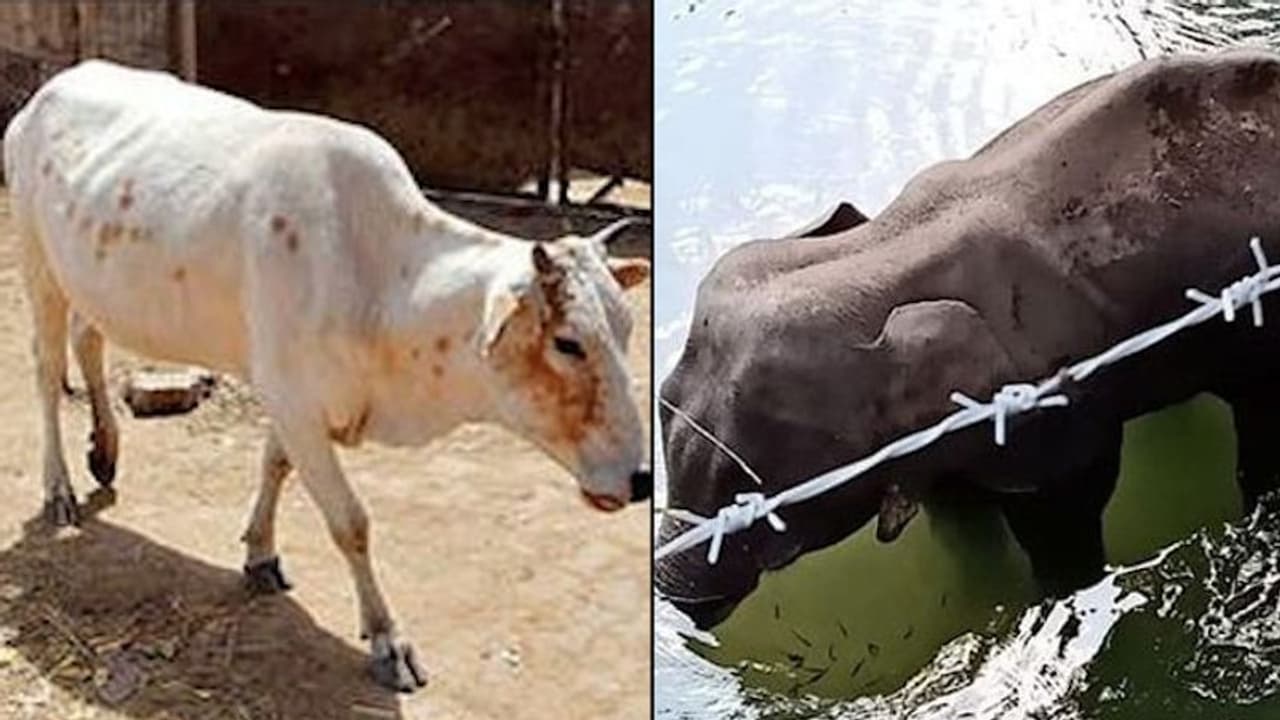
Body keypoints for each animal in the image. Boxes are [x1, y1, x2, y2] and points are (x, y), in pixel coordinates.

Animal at [3, 60, 651, 691]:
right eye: (568, 343)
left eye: (625, 328)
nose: (642, 478)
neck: (378, 280)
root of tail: (47, 93)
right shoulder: (292, 397)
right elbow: (351, 522)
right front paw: (389, 641)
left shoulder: (290, 397)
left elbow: (275, 464)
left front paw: (260, 555)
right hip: (38, 265)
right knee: (47, 369)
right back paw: (59, 489)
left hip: (89, 280)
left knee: (88, 340)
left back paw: (104, 451)